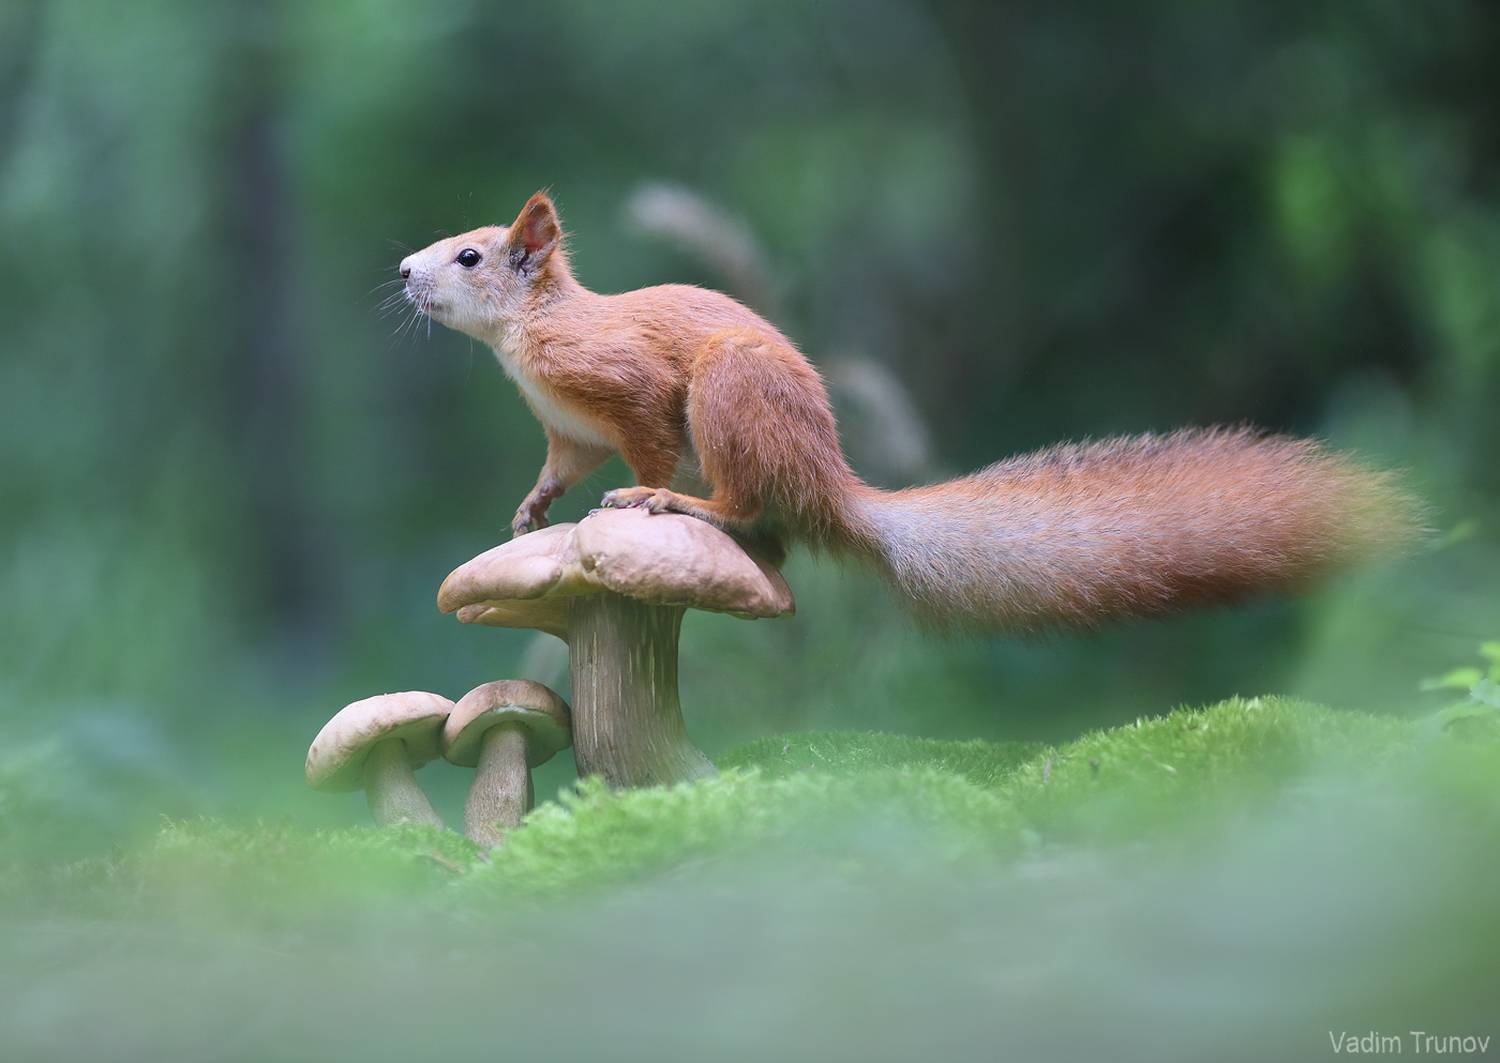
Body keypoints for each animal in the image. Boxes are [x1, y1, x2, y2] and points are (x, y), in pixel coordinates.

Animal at [398, 191, 1422, 631]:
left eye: (470, 257)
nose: (404, 270)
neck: (526, 341)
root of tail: (827, 483)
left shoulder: (628, 388)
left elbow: (645, 445)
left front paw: (638, 498)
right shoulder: (570, 432)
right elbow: (559, 467)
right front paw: (535, 509)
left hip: (730, 395)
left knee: (743, 503)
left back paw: (688, 505)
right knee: (770, 541)